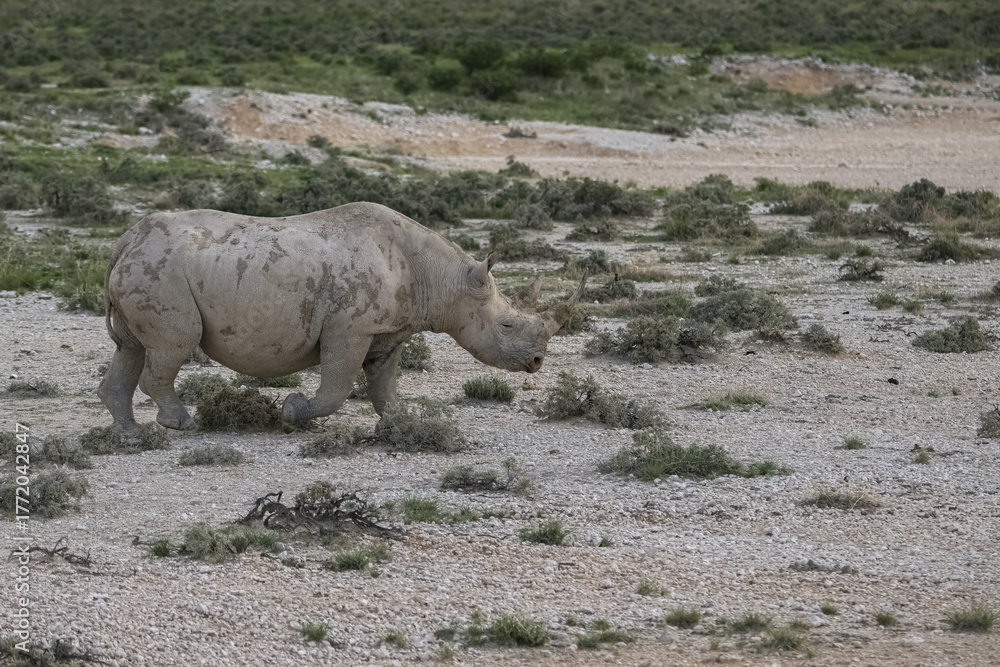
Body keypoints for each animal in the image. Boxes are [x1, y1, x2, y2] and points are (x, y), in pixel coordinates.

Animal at [98, 202, 585, 435]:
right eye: (507, 326)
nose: (537, 362)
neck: (443, 278)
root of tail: (125, 241)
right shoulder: (350, 327)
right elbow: (337, 386)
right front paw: (293, 412)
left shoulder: (388, 330)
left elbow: (384, 383)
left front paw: (399, 423)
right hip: (161, 272)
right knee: (175, 342)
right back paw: (179, 424)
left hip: (150, 268)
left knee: (132, 347)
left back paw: (130, 434)